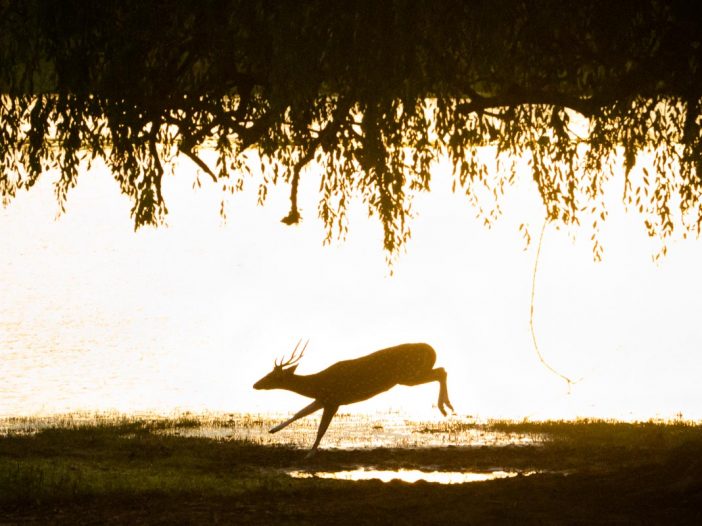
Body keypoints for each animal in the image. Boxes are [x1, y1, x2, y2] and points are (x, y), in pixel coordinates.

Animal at [253, 340, 454, 456]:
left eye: (274, 376)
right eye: (269, 373)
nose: (255, 384)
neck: (317, 384)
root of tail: (432, 350)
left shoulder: (334, 400)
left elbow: (321, 429)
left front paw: (310, 453)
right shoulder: (324, 398)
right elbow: (299, 413)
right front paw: (273, 430)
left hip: (409, 375)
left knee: (442, 371)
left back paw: (445, 407)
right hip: (412, 374)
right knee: (442, 370)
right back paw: (447, 407)